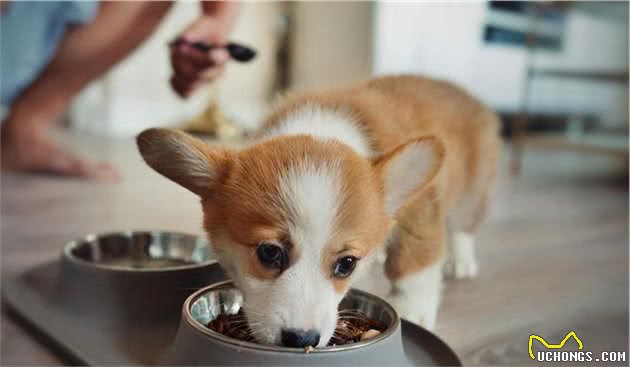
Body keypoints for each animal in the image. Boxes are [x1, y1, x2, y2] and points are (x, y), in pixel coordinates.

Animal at [137, 75, 498, 348]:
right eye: (269, 252)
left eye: (347, 264)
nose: (302, 340)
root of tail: (464, 93)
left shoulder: (418, 211)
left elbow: (414, 265)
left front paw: (413, 310)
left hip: (469, 195)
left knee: (464, 227)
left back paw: (462, 261)